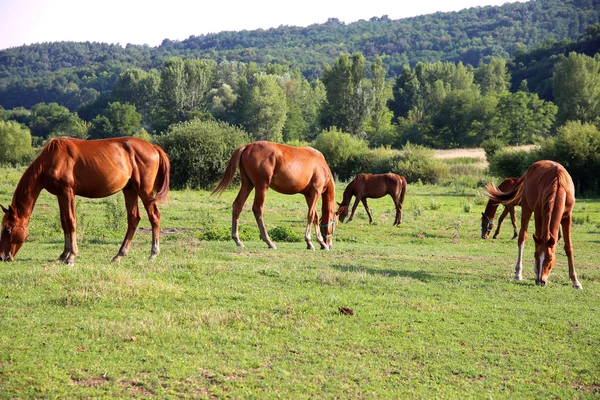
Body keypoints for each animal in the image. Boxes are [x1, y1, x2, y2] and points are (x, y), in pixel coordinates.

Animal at [0, 138, 171, 266]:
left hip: (144, 191)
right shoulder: (60, 195)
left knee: (154, 216)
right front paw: (63, 255)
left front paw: (71, 256)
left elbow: (71, 221)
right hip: (129, 190)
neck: (51, 159)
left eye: (7, 229)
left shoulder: (67, 192)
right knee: (133, 218)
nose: (2, 256)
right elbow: (64, 222)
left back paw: (153, 253)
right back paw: (119, 255)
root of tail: (153, 147)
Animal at [488, 161, 580, 290]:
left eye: (550, 258)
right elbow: (536, 241)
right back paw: (518, 273)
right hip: (526, 208)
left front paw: (575, 281)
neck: (558, 185)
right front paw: (536, 271)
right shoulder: (538, 214)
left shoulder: (567, 216)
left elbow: (568, 248)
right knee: (522, 238)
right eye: (535, 256)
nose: (541, 281)